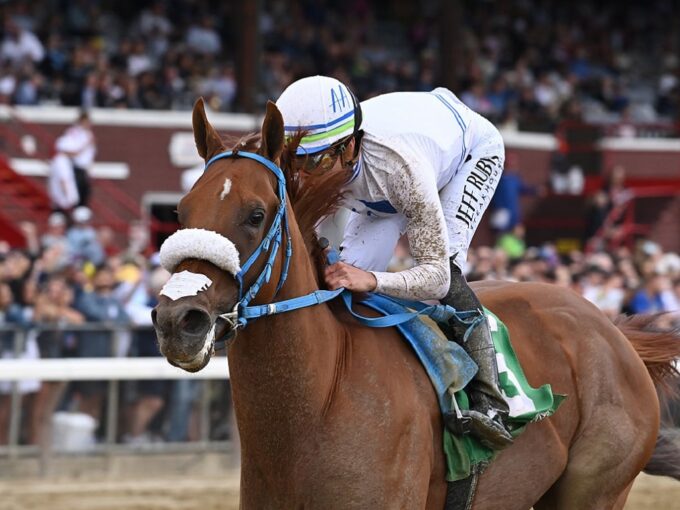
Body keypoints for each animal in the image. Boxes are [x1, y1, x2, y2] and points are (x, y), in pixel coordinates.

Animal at [153, 97, 680, 508]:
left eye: (256, 214)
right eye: (180, 211)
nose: (178, 320)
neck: (321, 398)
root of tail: (614, 331)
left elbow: (437, 270)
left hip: (596, 489)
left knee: (447, 267)